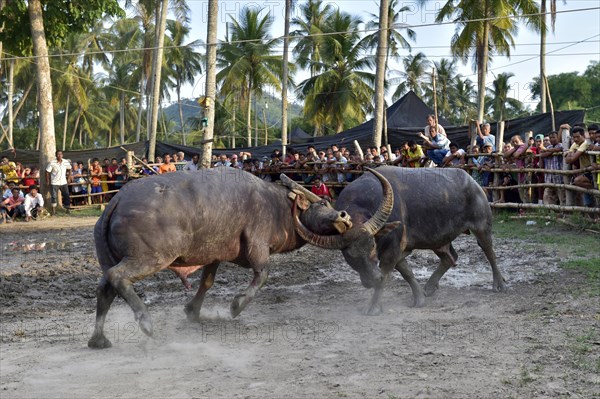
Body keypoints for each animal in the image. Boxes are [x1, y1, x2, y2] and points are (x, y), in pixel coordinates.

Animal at [86, 167, 392, 348]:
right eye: (324, 202)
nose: (344, 216)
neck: (278, 206)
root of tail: (116, 201)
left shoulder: (214, 254)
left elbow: (207, 282)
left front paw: (193, 311)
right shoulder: (257, 243)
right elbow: (262, 274)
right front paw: (236, 306)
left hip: (113, 258)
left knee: (104, 288)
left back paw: (98, 338)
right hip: (153, 257)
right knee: (118, 277)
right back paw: (146, 322)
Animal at [294, 166, 506, 316]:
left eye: (372, 246)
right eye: (349, 256)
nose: (372, 279)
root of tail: (474, 184)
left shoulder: (393, 248)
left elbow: (388, 274)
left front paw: (373, 307)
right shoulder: (397, 250)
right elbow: (406, 272)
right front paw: (419, 298)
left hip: (482, 227)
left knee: (489, 252)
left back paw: (499, 284)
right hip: (438, 238)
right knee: (450, 257)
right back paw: (430, 287)